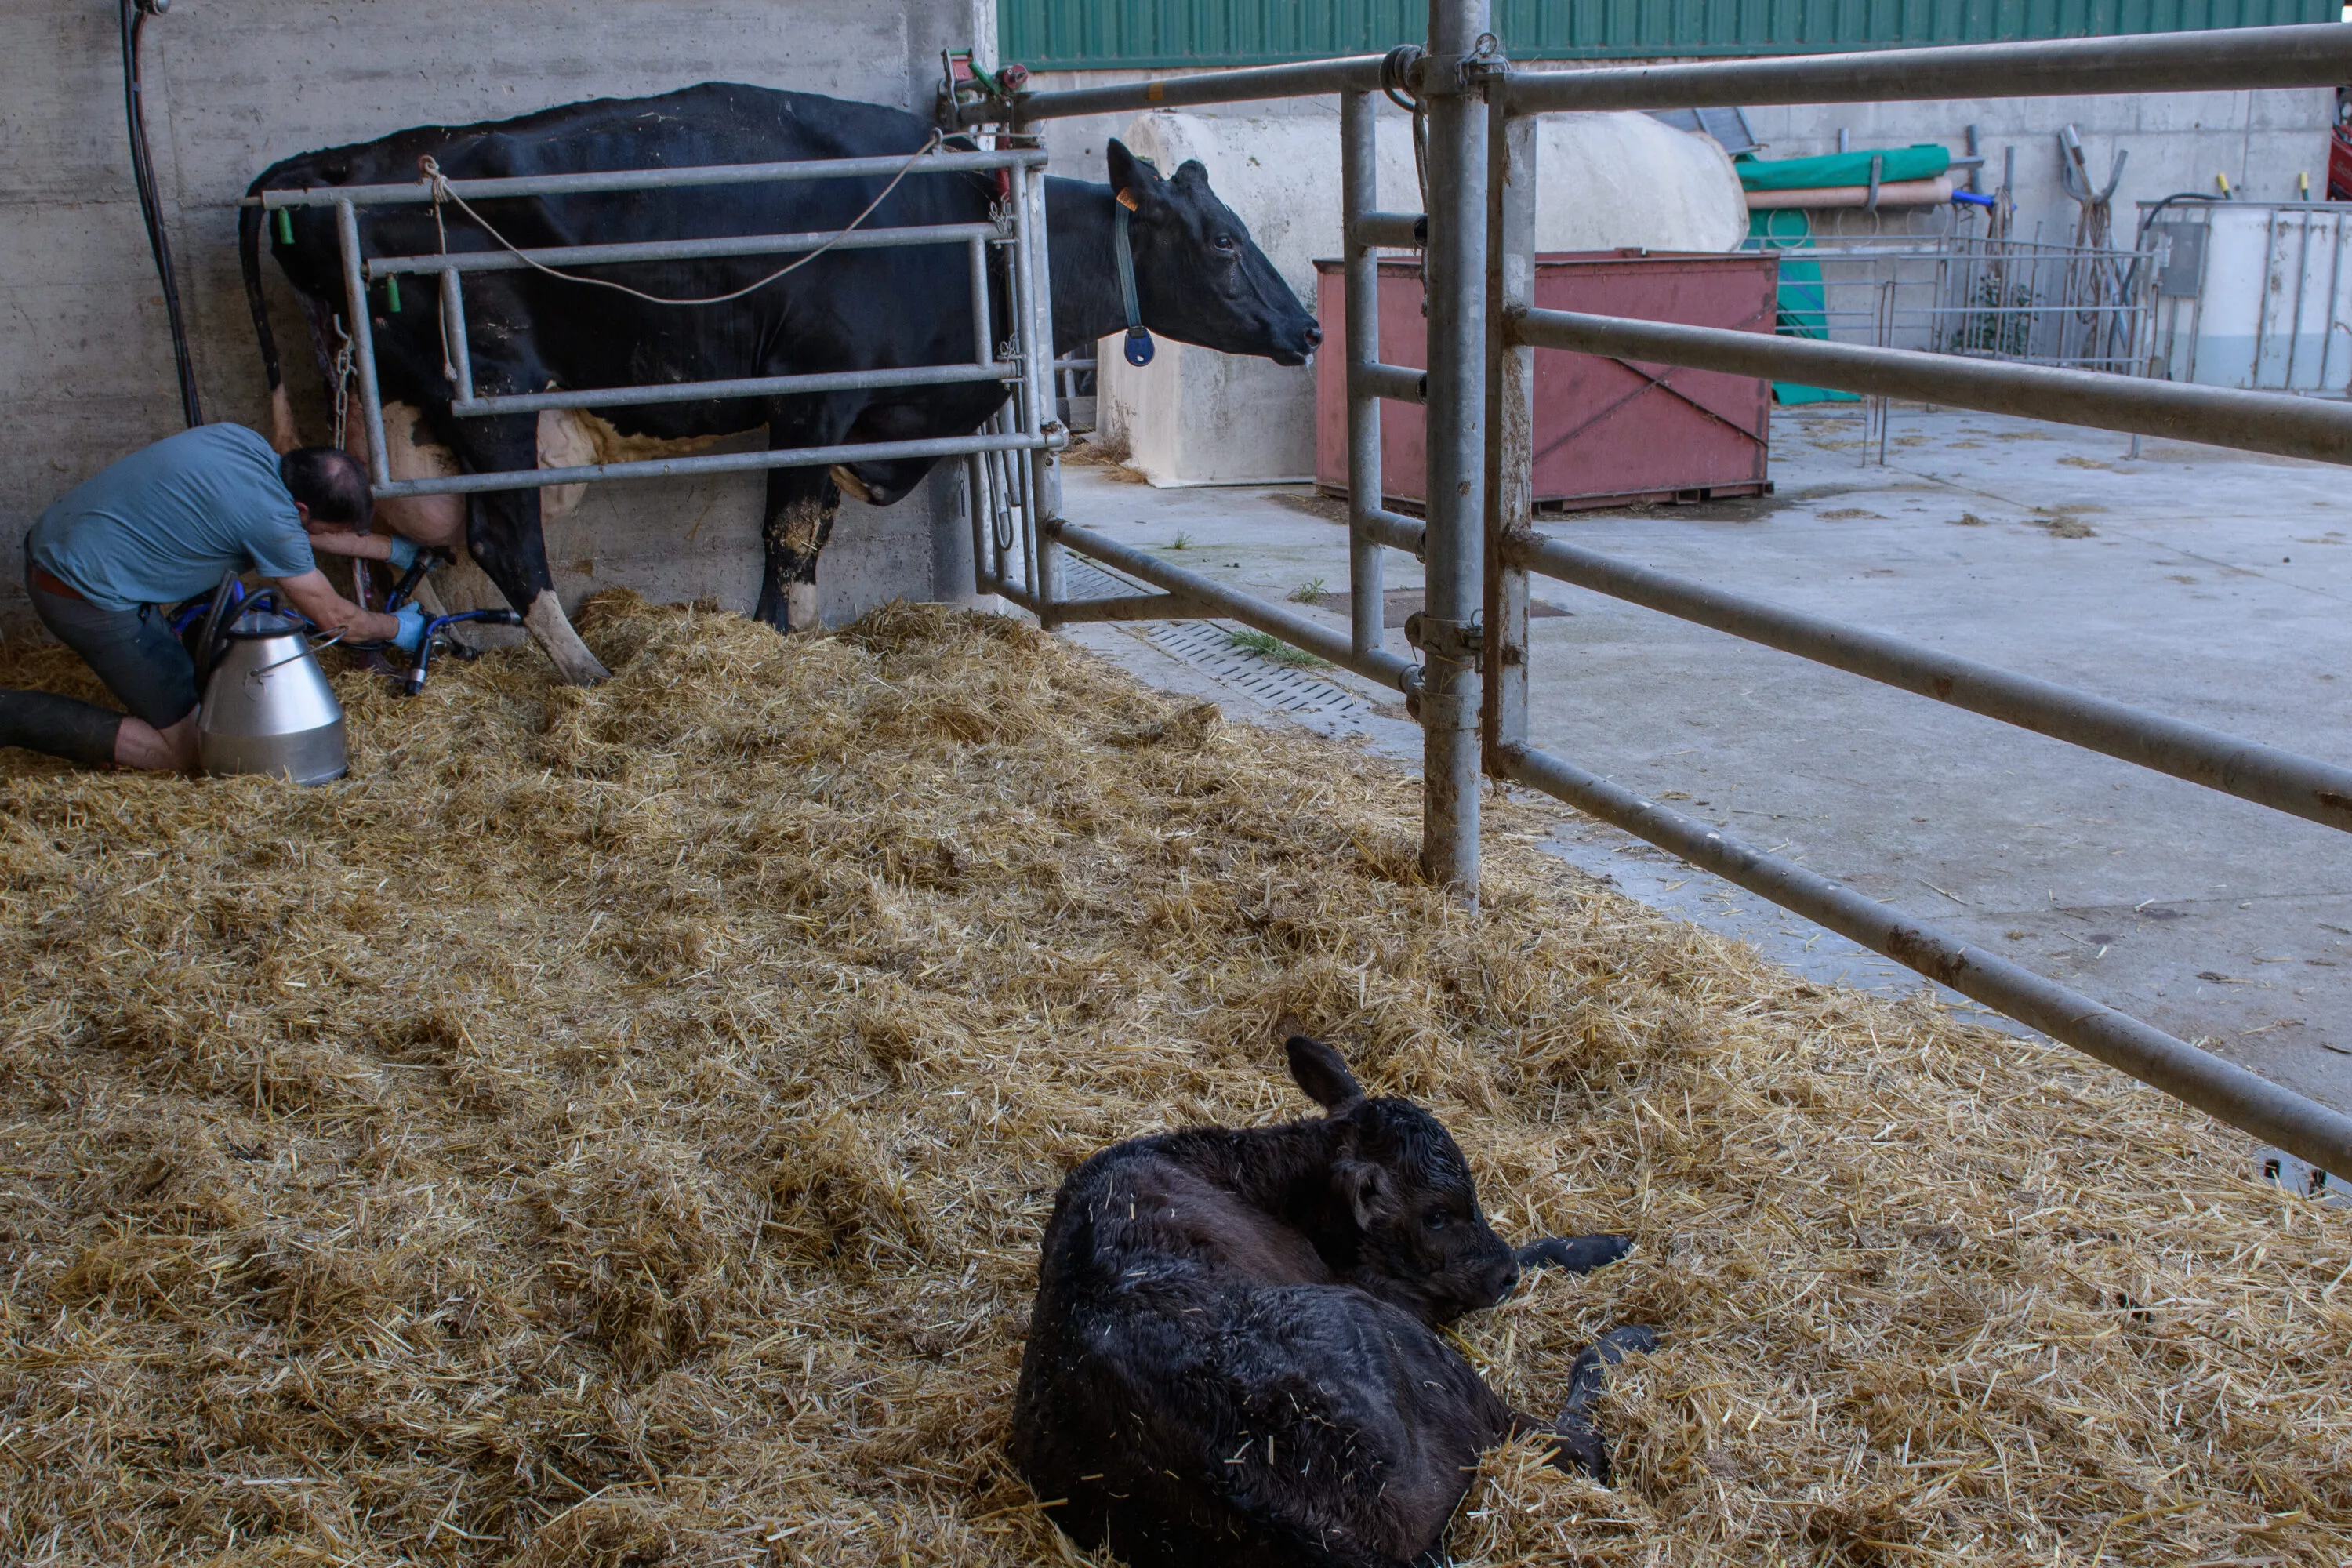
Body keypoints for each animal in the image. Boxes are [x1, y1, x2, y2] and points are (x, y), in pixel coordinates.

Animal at [240, 83, 1320, 683]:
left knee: (423, 535)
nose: (1309, 326)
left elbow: (796, 537)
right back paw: (585, 669)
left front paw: (774, 640)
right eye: (1224, 241)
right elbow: (793, 536)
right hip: (497, 396)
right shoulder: (817, 399)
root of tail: (327, 168)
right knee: (506, 538)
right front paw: (798, 647)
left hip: (407, 406)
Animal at [1009, 1033, 1657, 1568]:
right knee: (1575, 1442)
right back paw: (1630, 1339)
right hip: (1417, 1356)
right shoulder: (1389, 1292)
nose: (1502, 1278)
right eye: (1437, 1214)